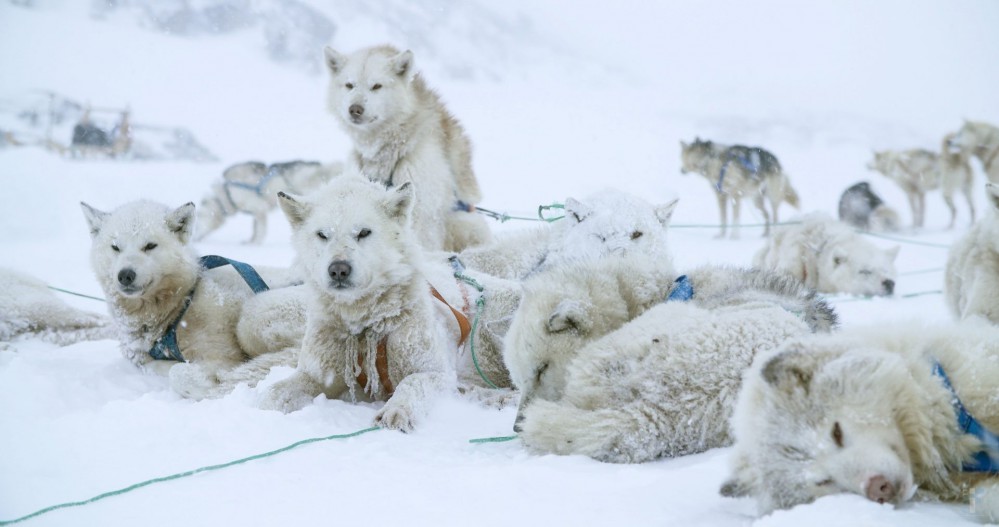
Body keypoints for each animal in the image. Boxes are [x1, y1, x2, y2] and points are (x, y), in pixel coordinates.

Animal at [80, 200, 306, 394]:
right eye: (115, 247)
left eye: (150, 246)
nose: (125, 275)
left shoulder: (220, 354)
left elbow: (178, 373)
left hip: (254, 314)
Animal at [258, 177, 524, 434]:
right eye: (322, 235)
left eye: (364, 232)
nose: (338, 270)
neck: (365, 325)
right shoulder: (318, 374)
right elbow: (273, 394)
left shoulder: (436, 373)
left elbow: (412, 382)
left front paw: (397, 410)